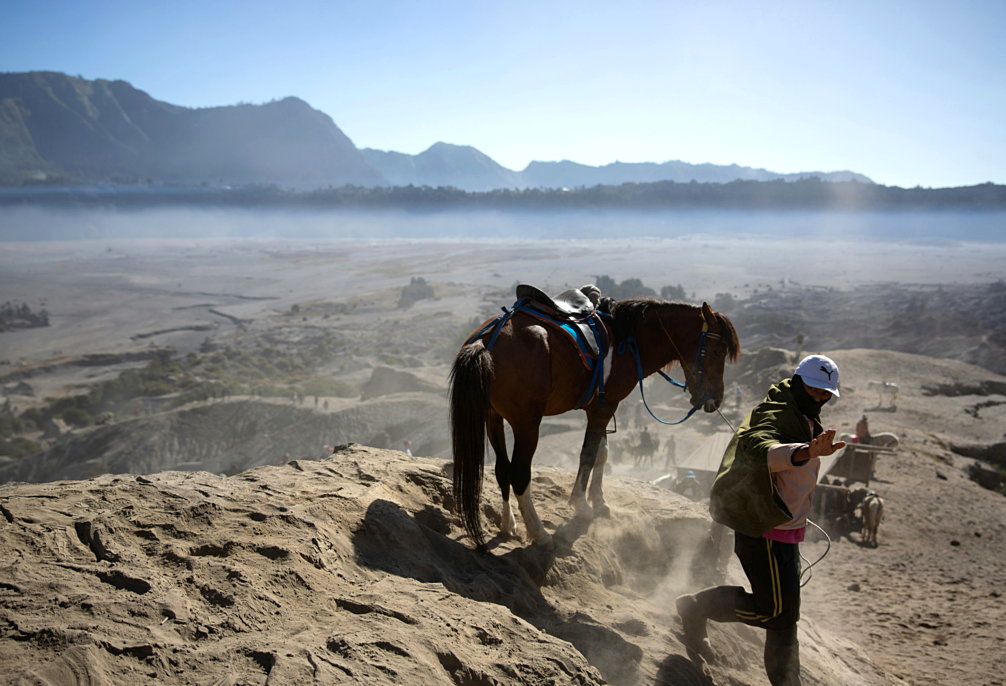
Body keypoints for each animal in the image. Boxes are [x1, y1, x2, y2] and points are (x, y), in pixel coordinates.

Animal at [448, 295, 740, 547]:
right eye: (717, 352)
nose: (716, 399)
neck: (628, 338)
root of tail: (486, 341)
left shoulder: (601, 407)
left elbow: (602, 453)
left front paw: (599, 501)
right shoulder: (604, 407)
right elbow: (588, 455)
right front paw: (581, 504)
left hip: (493, 417)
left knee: (502, 470)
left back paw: (509, 525)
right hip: (527, 423)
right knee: (519, 474)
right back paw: (539, 532)